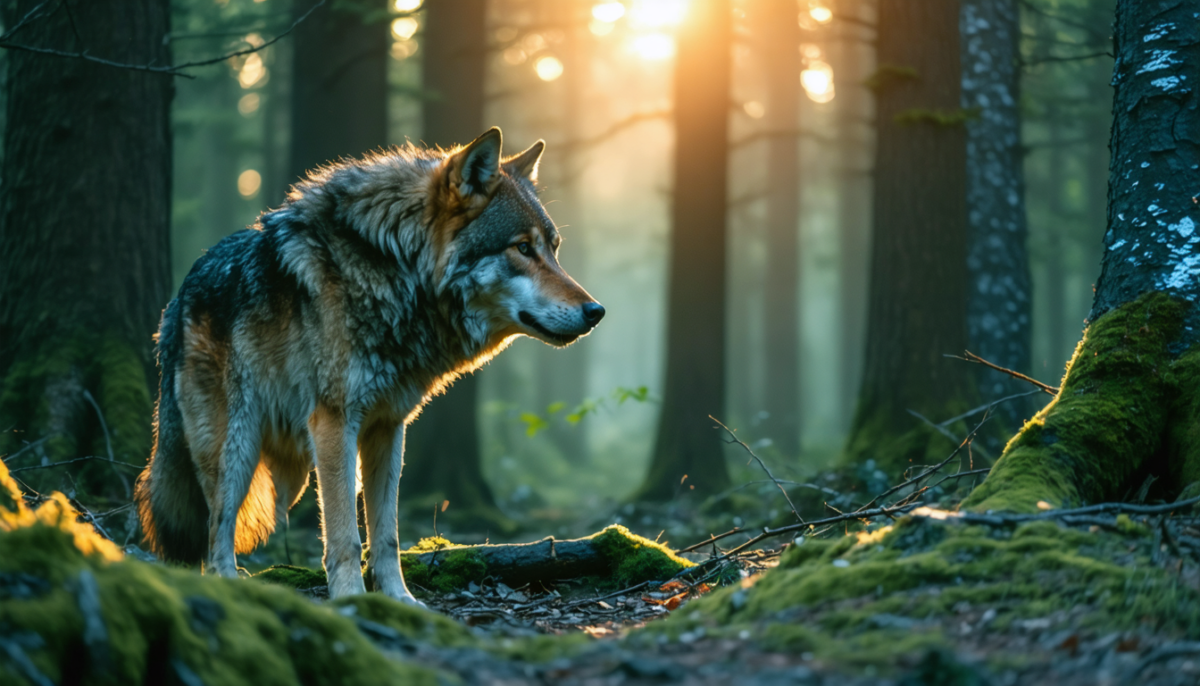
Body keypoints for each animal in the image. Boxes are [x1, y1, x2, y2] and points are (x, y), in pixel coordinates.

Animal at [134, 128, 604, 604]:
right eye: (522, 248)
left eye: (554, 249)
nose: (596, 311)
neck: (397, 270)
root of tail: (178, 298)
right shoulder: (335, 422)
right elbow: (344, 533)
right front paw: (352, 600)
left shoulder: (388, 427)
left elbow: (386, 532)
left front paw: (399, 600)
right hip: (237, 447)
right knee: (217, 529)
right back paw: (229, 586)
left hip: (287, 475)